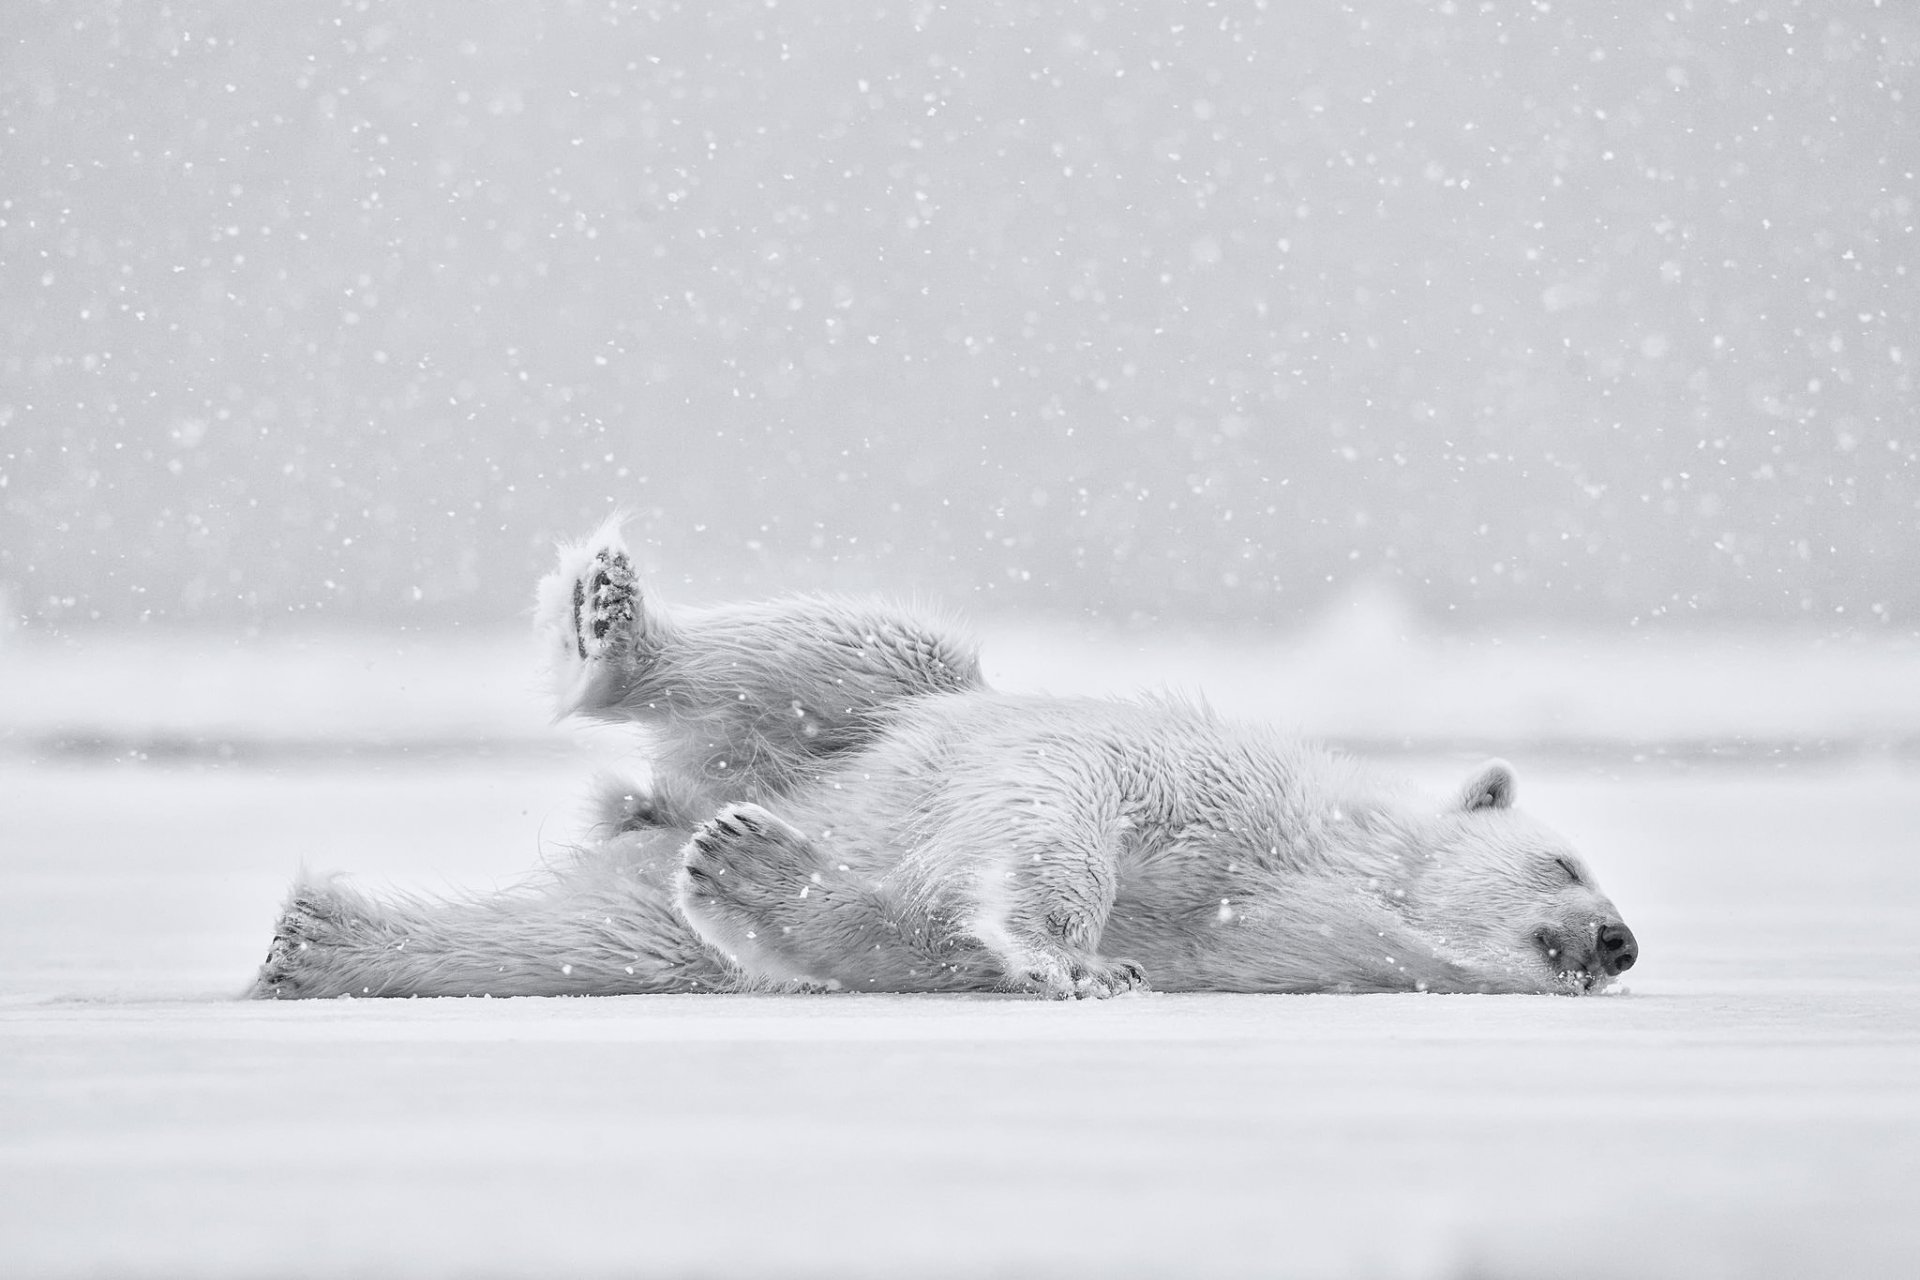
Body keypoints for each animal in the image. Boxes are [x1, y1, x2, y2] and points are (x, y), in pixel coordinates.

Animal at [251, 519, 1639, 1000]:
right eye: (1567, 859)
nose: (1620, 940)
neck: (1321, 861)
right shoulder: (1211, 784)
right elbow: (1068, 802)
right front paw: (1080, 958)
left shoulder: (1284, 945)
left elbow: (918, 936)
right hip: (873, 714)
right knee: (864, 648)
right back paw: (612, 624)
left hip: (674, 869)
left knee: (591, 933)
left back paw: (319, 938)